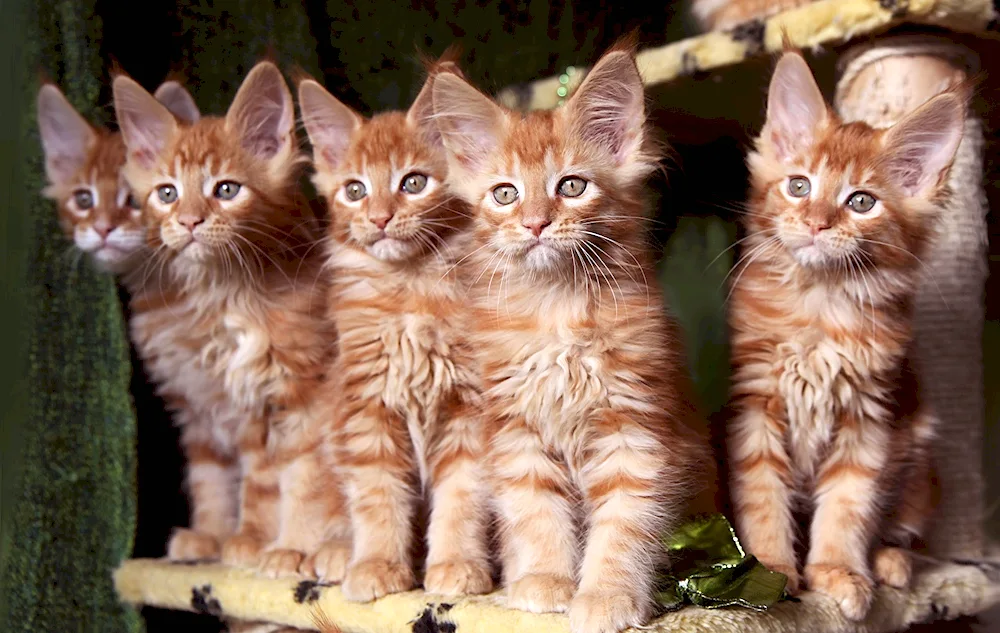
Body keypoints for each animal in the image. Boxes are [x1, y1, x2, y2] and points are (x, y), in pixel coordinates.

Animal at [112, 60, 348, 572]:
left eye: (226, 189)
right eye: (167, 193)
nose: (188, 221)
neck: (230, 296)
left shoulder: (305, 392)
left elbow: (303, 477)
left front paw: (288, 547)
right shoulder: (224, 405)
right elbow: (235, 478)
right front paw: (228, 538)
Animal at [298, 60, 494, 596]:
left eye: (413, 183)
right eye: (355, 190)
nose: (381, 217)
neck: (410, 292)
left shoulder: (467, 410)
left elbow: (462, 499)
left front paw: (456, 565)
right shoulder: (367, 408)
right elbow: (377, 498)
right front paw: (376, 566)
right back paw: (334, 553)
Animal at [430, 44, 712, 632]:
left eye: (572, 186)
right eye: (505, 194)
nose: (536, 224)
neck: (558, 310)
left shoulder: (634, 432)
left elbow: (625, 525)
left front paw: (607, 595)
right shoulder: (518, 433)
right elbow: (537, 515)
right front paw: (544, 582)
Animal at [724, 51, 964, 620]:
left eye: (861, 202)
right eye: (799, 187)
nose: (816, 224)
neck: (820, 307)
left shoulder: (868, 419)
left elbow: (846, 508)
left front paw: (838, 573)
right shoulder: (755, 406)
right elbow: (763, 499)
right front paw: (774, 572)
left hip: (919, 462)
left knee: (904, 533)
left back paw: (890, 564)